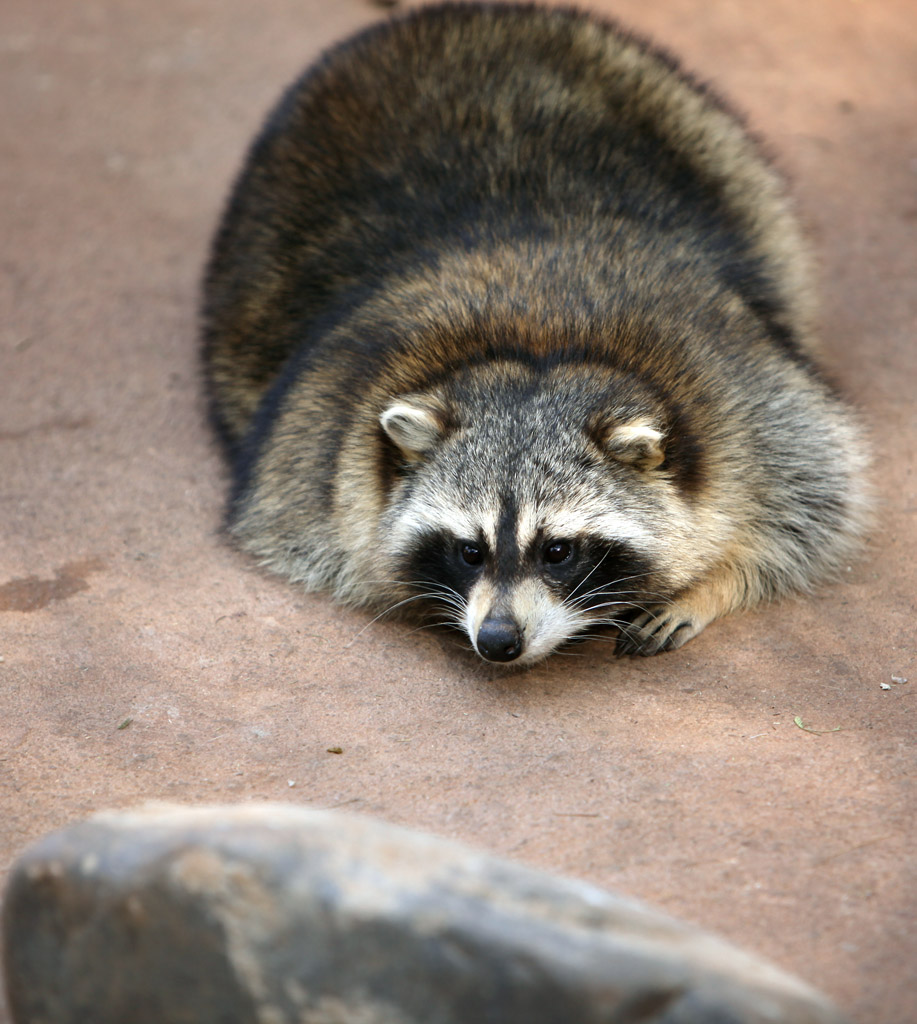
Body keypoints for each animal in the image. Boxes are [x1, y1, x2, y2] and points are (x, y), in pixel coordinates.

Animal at [200, 4, 867, 667]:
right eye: (469, 550)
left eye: (558, 550)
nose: (497, 641)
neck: (538, 346)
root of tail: (444, 16)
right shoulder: (318, 433)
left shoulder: (741, 389)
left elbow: (818, 497)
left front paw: (710, 584)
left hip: (712, 144)